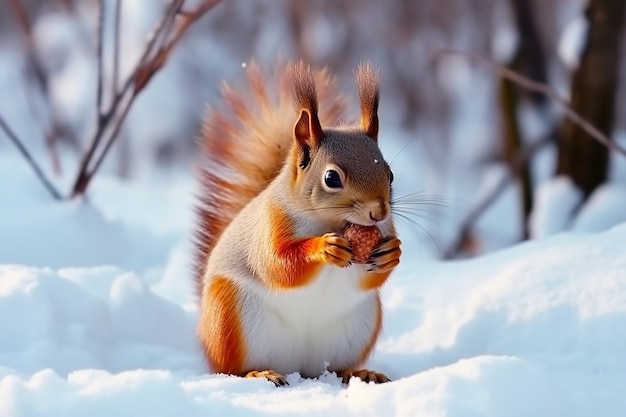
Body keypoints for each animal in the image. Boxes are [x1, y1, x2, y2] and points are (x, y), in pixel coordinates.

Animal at [193, 60, 402, 386]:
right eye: (331, 178)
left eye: (390, 175)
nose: (379, 212)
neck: (333, 222)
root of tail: (298, 368)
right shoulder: (271, 224)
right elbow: (278, 265)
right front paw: (324, 248)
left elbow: (370, 277)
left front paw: (392, 253)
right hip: (228, 317)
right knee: (230, 369)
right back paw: (259, 373)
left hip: (359, 326)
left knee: (336, 366)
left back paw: (360, 372)